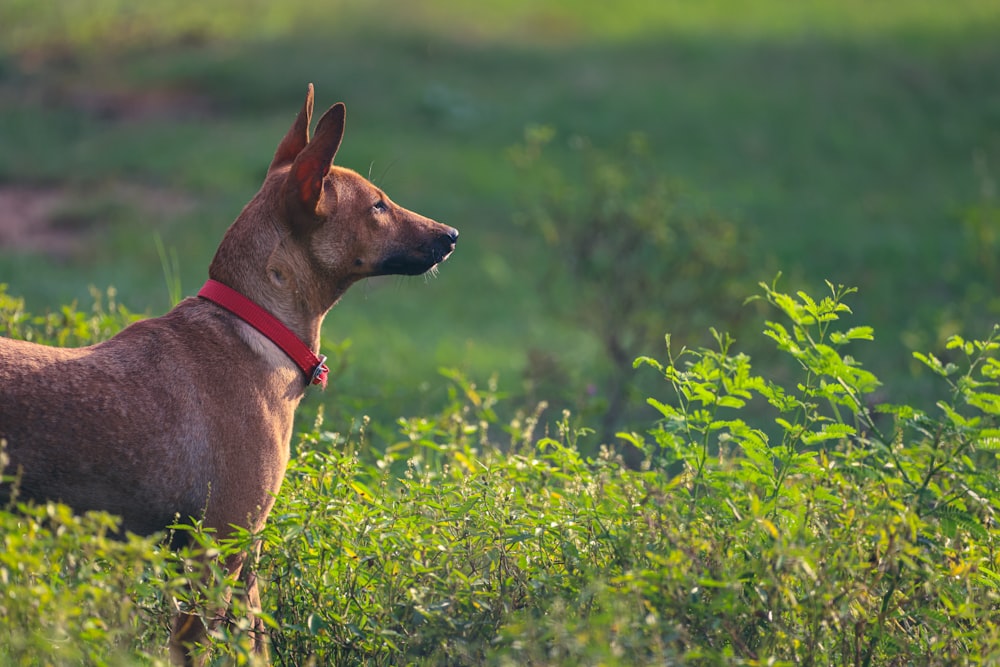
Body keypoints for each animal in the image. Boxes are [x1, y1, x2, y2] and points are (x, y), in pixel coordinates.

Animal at [0, 86, 460, 664]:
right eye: (377, 205)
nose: (452, 234)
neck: (255, 327)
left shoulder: (248, 553)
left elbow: (256, 640)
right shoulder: (215, 551)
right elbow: (190, 646)